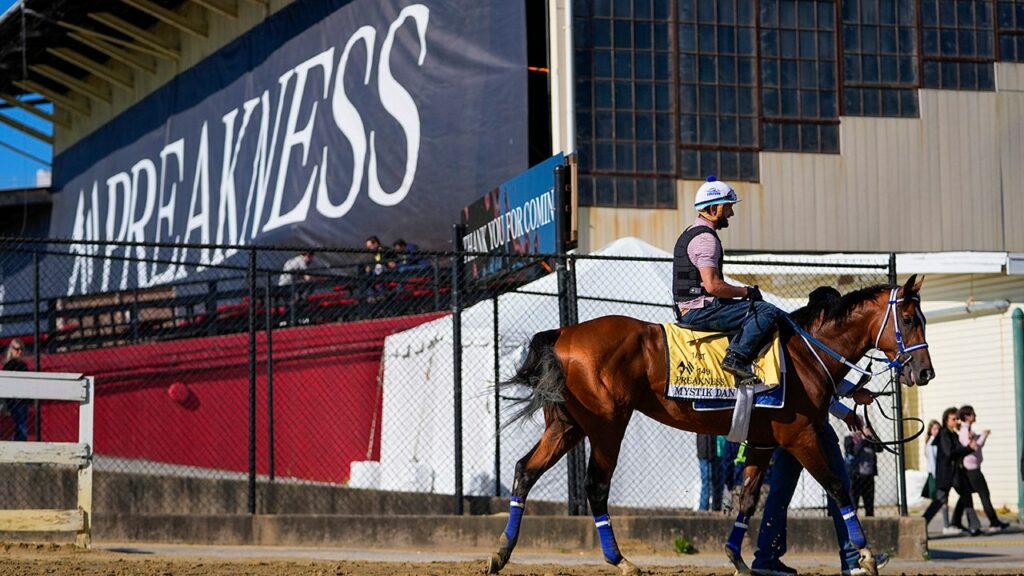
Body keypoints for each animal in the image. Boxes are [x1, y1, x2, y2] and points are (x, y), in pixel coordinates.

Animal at [483, 272, 933, 573]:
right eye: (911, 320)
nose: (925, 372)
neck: (806, 353)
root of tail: (563, 333)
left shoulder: (762, 442)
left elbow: (748, 500)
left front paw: (737, 558)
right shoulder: (801, 436)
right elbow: (838, 487)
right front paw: (867, 554)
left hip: (567, 426)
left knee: (525, 470)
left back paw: (502, 551)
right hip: (607, 427)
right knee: (595, 486)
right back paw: (619, 559)